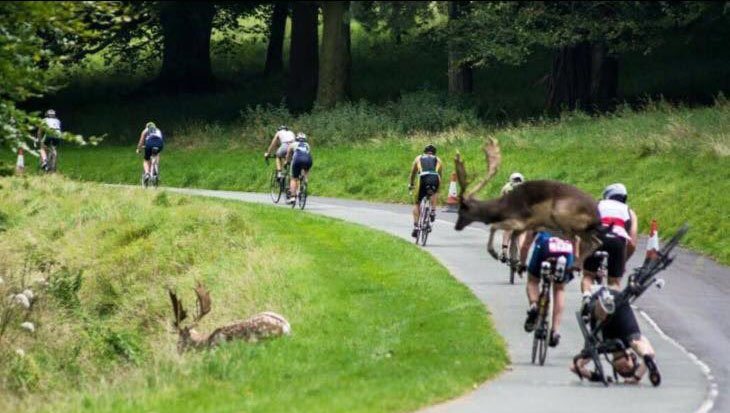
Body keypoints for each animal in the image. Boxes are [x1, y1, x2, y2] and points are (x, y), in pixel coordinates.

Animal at [456, 138, 604, 268]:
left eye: (461, 209)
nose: (457, 226)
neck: (502, 208)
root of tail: (596, 216)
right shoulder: (525, 226)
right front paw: (515, 262)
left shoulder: (520, 220)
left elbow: (494, 226)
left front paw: (494, 253)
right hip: (582, 229)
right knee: (595, 242)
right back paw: (576, 265)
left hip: (562, 215)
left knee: (573, 240)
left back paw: (572, 265)